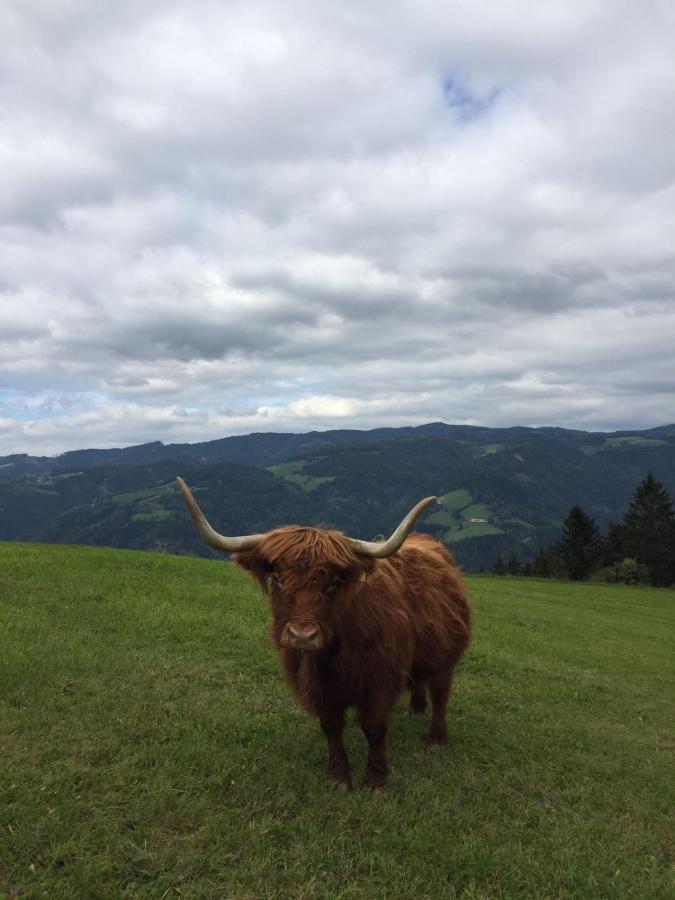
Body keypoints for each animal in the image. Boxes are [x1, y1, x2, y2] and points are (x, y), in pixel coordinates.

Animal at [178, 478, 470, 788]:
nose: (302, 635)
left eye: (334, 582)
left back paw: (436, 739)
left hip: (446, 656)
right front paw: (340, 776)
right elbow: (331, 727)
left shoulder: (380, 681)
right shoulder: (320, 690)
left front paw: (376, 778)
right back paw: (416, 707)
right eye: (277, 578)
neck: (334, 653)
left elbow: (374, 728)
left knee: (441, 694)